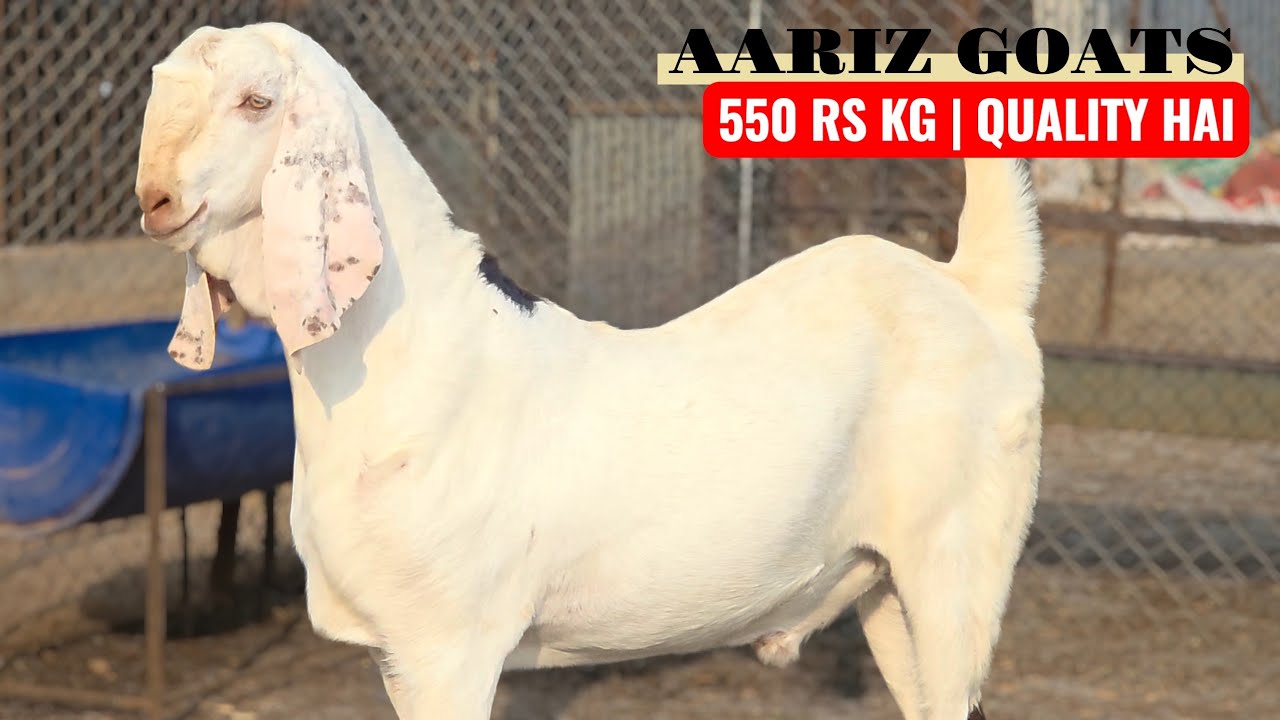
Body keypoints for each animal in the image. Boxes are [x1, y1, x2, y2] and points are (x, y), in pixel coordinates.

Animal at [135, 23, 1043, 720]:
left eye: (257, 102)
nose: (154, 200)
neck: (410, 353)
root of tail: (977, 285)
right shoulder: (394, 655)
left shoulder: (448, 648)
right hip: (888, 591)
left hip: (955, 568)